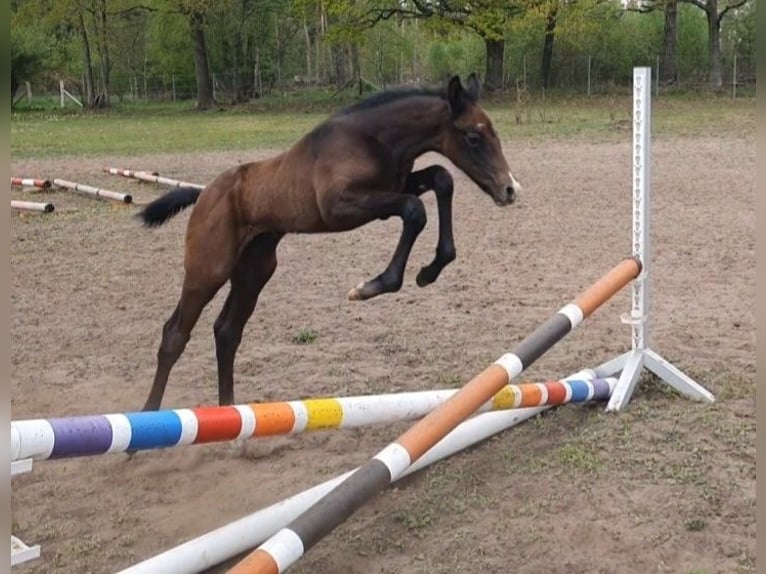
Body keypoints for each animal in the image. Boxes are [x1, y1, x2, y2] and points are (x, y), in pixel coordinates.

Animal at [136, 74, 520, 412]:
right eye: (473, 136)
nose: (509, 189)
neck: (373, 139)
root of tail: (203, 194)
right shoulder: (340, 207)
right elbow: (414, 210)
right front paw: (372, 286)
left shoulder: (396, 185)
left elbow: (441, 179)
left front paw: (430, 270)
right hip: (208, 272)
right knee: (174, 335)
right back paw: (148, 420)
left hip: (253, 272)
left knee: (227, 332)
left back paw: (228, 412)